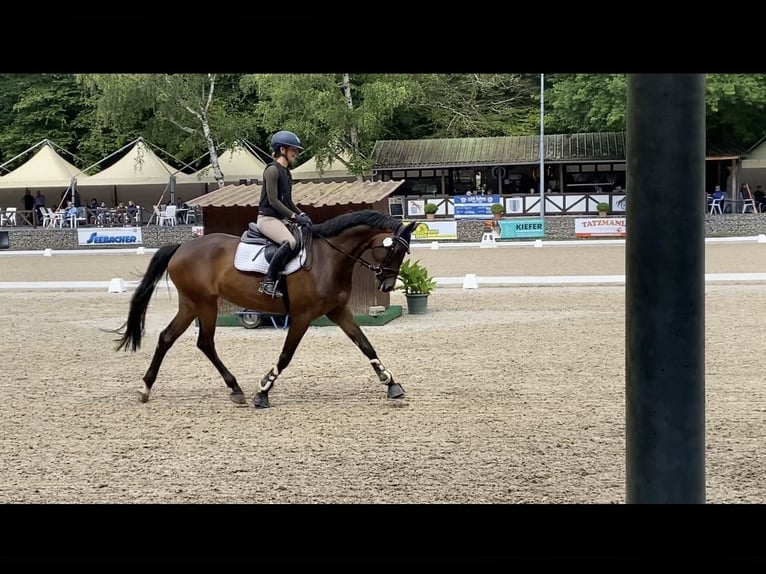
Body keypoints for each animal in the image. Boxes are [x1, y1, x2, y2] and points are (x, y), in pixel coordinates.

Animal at [114, 210, 420, 410]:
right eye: (393, 251)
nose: (386, 285)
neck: (330, 258)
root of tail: (181, 247)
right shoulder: (301, 316)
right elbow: (285, 356)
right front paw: (263, 392)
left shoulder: (339, 311)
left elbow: (366, 345)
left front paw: (391, 383)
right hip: (203, 303)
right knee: (203, 342)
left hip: (192, 304)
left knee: (173, 338)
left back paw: (151, 388)